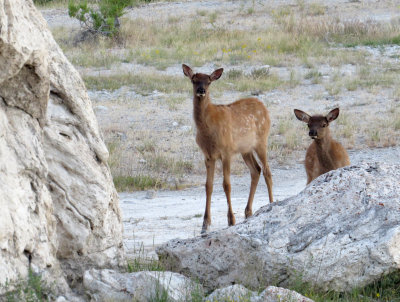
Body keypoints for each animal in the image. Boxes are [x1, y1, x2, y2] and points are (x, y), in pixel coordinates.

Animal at [183, 63, 274, 234]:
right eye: (194, 80)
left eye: (209, 82)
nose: (201, 90)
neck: (208, 129)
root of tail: (264, 107)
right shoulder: (208, 155)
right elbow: (208, 186)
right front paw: (205, 224)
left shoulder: (226, 151)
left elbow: (227, 185)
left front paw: (231, 220)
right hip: (245, 149)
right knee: (256, 170)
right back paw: (248, 212)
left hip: (261, 141)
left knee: (267, 171)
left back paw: (271, 204)